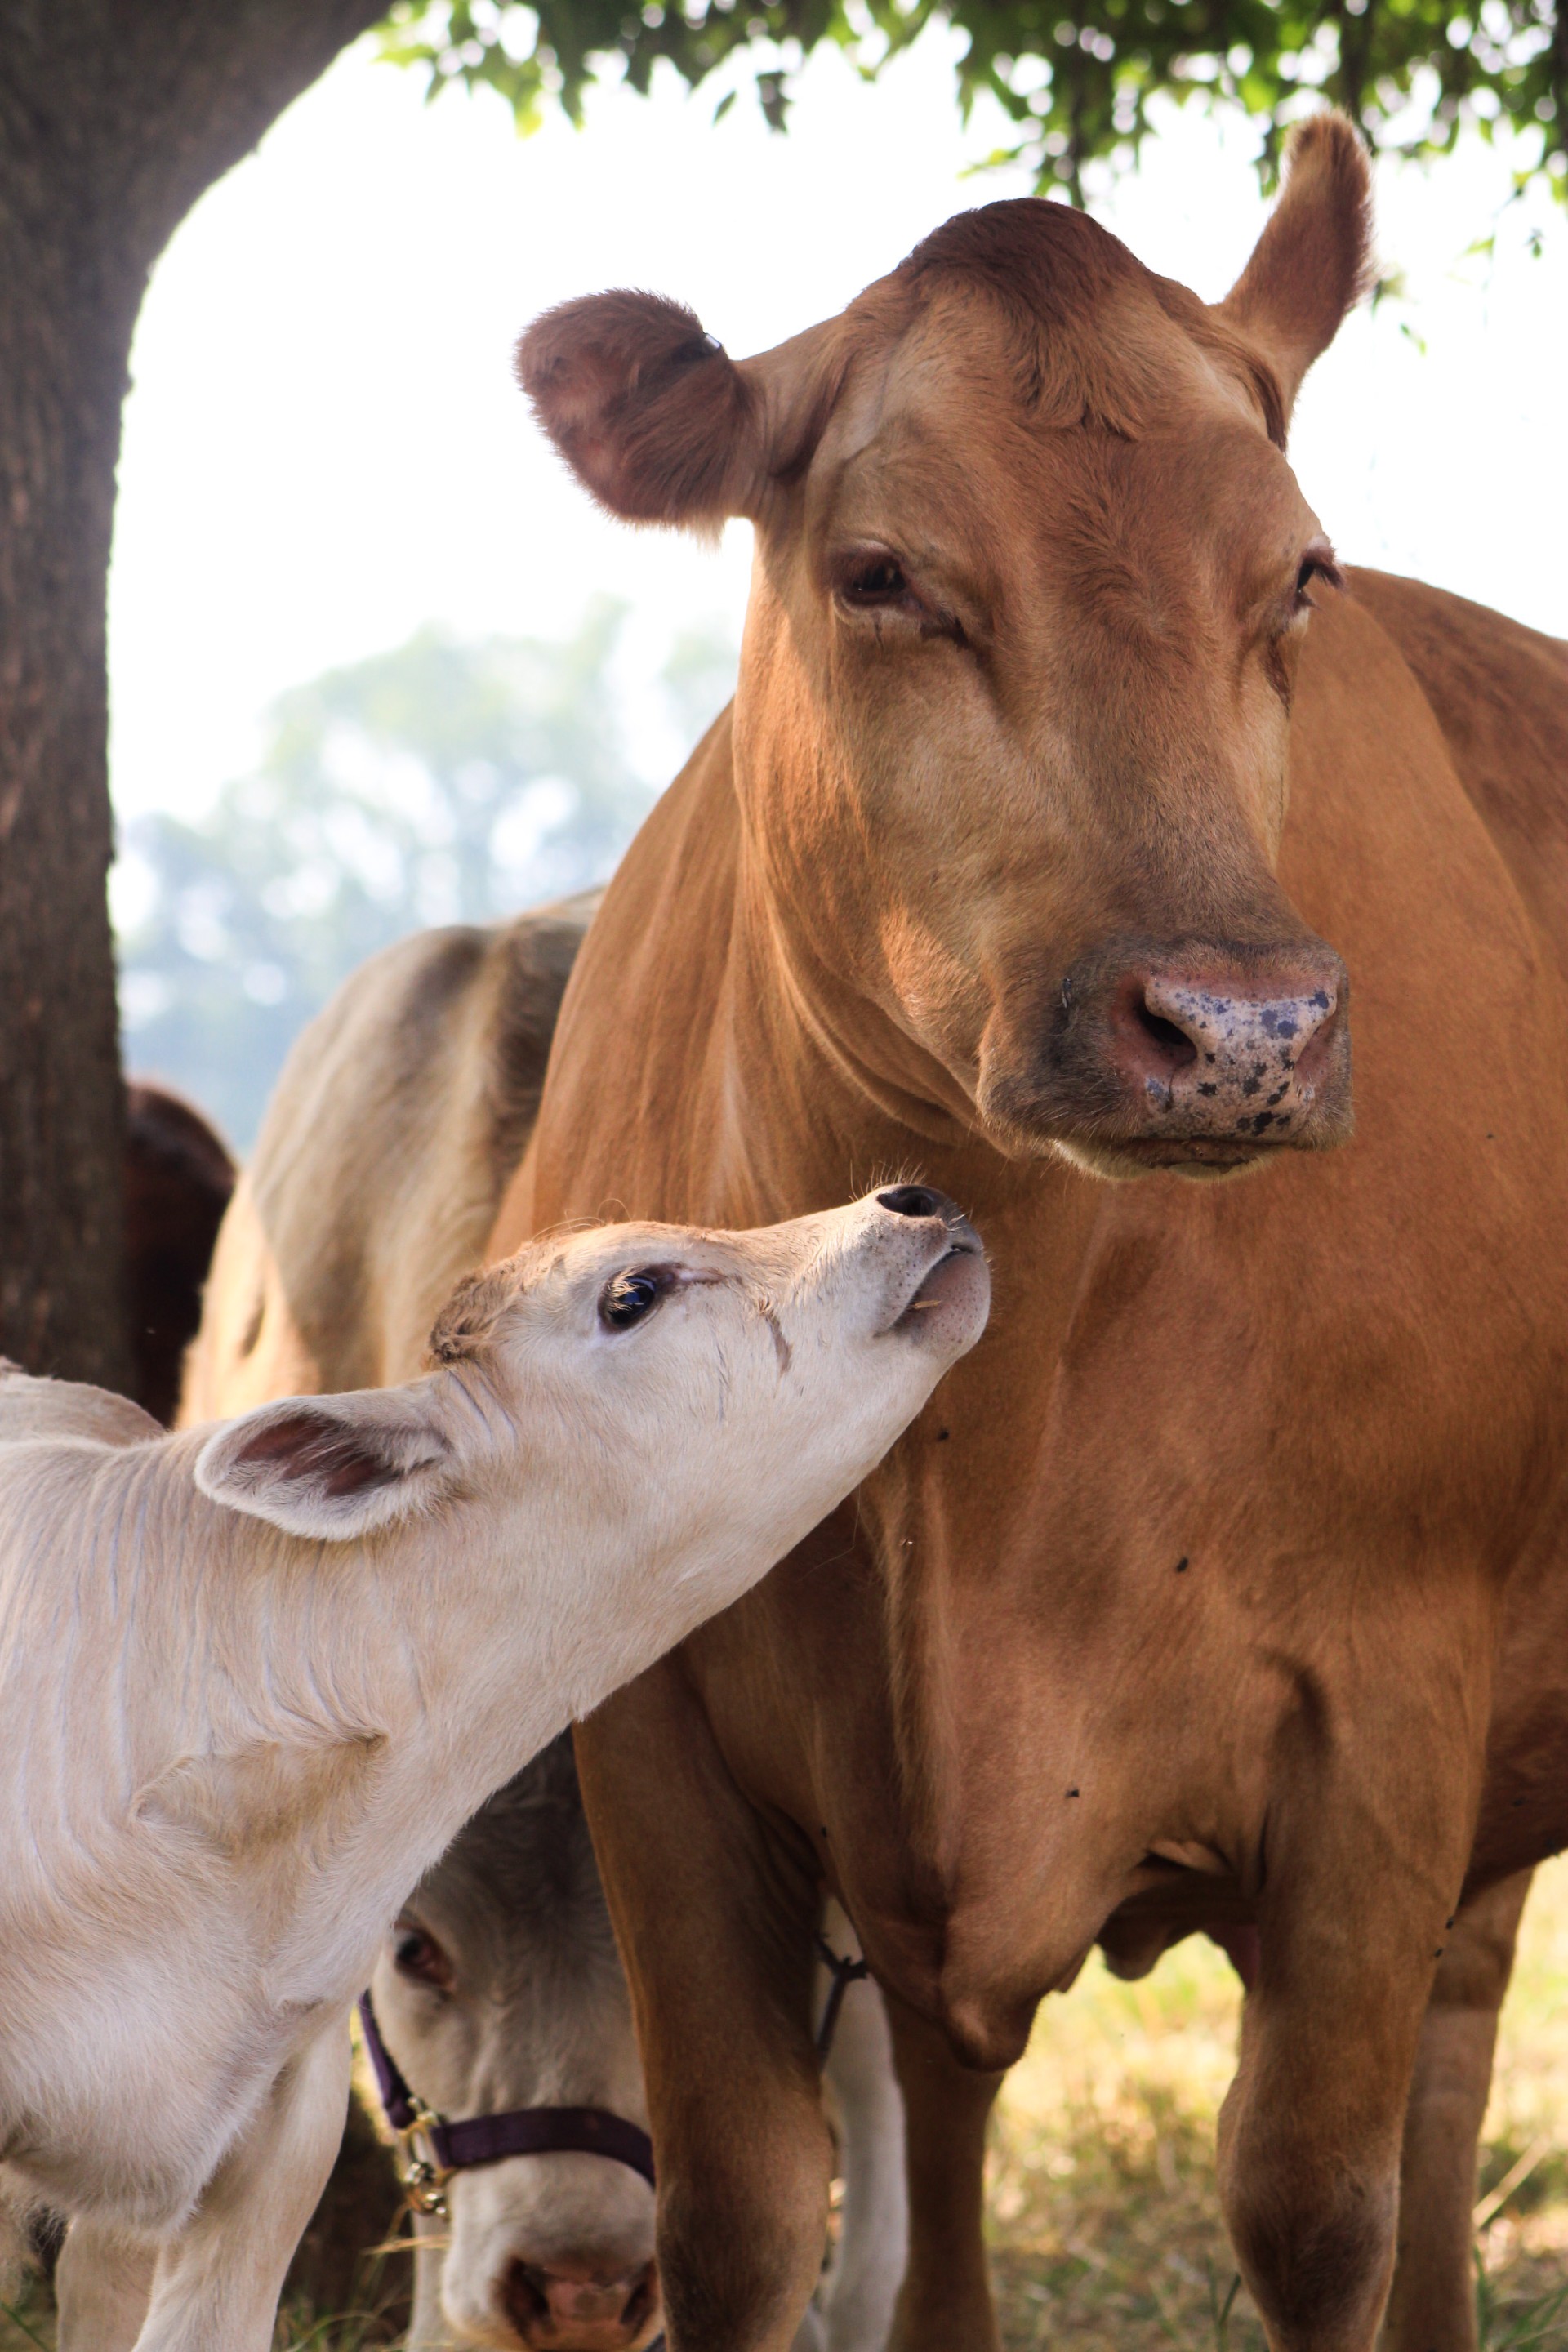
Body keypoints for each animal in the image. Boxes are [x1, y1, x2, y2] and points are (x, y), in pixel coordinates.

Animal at [492, 114, 1568, 2352]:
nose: (1239, 1029)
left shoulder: (1389, 1723)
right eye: (881, 574)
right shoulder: (648, 1733)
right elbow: (745, 2215)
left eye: (1301, 575)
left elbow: (1309, 2207)